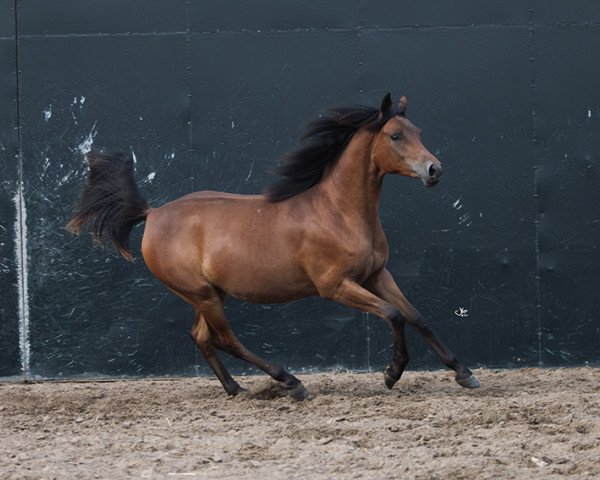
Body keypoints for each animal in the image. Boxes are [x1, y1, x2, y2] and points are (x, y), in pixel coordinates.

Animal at [68, 93, 480, 398]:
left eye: (418, 131)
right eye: (395, 135)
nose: (434, 170)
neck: (338, 211)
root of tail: (152, 213)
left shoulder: (377, 275)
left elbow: (417, 317)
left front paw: (464, 373)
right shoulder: (336, 286)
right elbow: (394, 316)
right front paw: (392, 373)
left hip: (208, 293)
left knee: (202, 337)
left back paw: (235, 388)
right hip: (201, 293)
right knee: (226, 339)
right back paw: (291, 382)